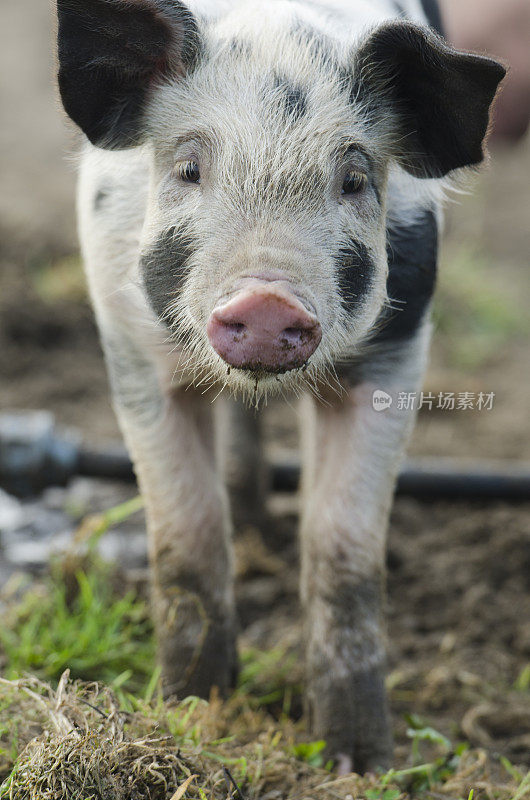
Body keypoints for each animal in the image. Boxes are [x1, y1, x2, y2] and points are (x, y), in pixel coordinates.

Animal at [54, 0, 504, 776]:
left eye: (353, 180)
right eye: (189, 166)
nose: (266, 301)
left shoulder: (397, 355)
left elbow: (344, 552)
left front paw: (358, 764)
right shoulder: (131, 353)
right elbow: (185, 538)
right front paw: (191, 713)